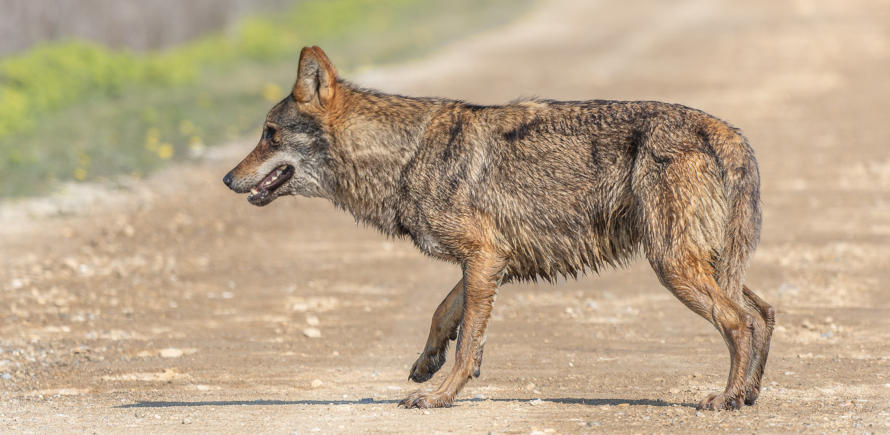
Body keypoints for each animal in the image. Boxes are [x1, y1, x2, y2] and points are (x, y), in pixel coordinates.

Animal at [223, 46, 774, 410]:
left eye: (269, 134)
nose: (227, 178)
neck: (405, 155)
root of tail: (728, 133)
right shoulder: (490, 261)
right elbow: (445, 314)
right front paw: (426, 365)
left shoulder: (484, 259)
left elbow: (467, 340)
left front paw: (440, 396)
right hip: (705, 262)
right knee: (763, 312)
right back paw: (748, 394)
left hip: (673, 266)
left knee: (738, 321)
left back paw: (724, 398)